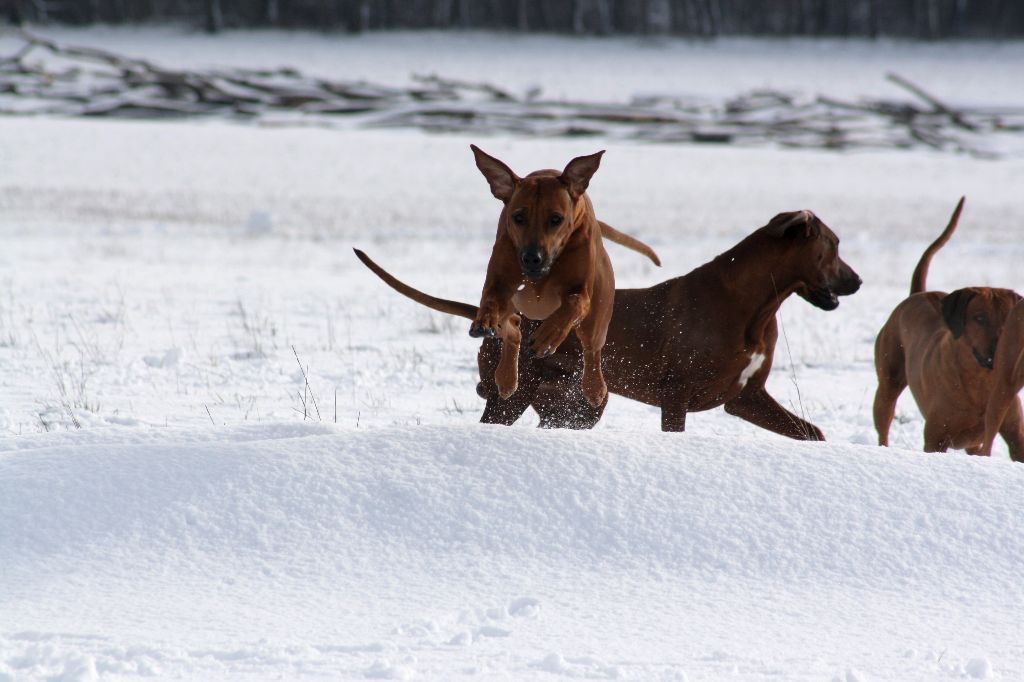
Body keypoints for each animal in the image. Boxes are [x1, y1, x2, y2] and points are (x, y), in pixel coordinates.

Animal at [356, 206, 860, 438]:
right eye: (834, 246)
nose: (857, 280)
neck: (754, 306)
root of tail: (508, 316)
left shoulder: (746, 398)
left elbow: (813, 433)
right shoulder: (675, 397)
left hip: (572, 408)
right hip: (512, 396)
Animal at [872, 193, 1024, 454]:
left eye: (1007, 319)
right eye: (979, 318)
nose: (1000, 352)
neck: (981, 383)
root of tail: (918, 293)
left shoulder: (1016, 435)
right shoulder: (936, 439)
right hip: (887, 383)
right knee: (884, 421)